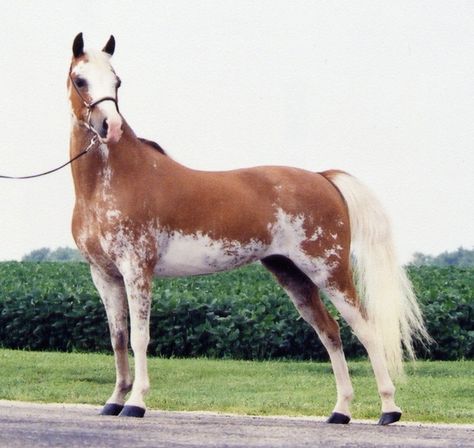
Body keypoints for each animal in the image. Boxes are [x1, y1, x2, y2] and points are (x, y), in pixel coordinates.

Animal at [67, 34, 430, 424]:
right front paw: (114, 400)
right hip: (292, 275)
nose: (111, 127)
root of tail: (322, 178)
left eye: (117, 81)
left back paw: (389, 409)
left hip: (329, 272)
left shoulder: (137, 270)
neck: (114, 180)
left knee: (366, 330)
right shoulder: (104, 274)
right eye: (80, 80)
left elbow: (139, 338)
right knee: (330, 332)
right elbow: (118, 339)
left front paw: (136, 403)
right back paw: (340, 410)